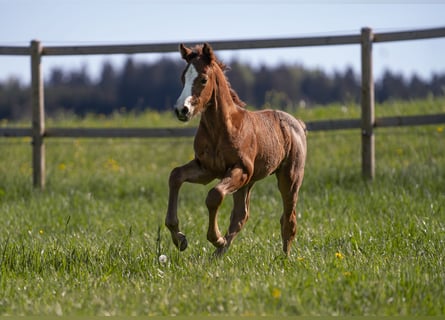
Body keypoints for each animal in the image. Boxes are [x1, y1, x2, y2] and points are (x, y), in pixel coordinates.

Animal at [165, 43, 306, 256]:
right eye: (183, 78)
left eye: (203, 79)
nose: (182, 110)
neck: (221, 128)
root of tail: (297, 123)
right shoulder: (206, 168)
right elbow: (175, 175)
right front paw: (179, 238)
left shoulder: (240, 169)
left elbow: (214, 195)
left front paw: (216, 238)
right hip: (248, 182)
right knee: (241, 216)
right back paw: (217, 255)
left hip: (289, 178)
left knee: (288, 218)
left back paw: (284, 257)